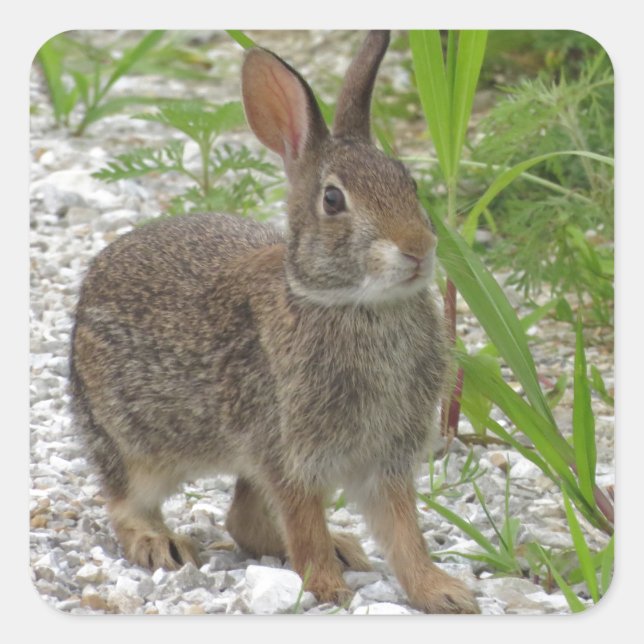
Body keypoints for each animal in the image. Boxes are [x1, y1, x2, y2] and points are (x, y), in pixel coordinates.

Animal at [69, 30, 479, 614]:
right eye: (333, 199)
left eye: (411, 184)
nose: (418, 249)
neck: (350, 303)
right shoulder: (291, 452)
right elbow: (304, 521)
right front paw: (327, 589)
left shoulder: (387, 458)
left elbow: (404, 532)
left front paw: (441, 592)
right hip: (131, 443)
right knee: (127, 503)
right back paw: (162, 544)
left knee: (243, 519)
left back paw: (343, 546)